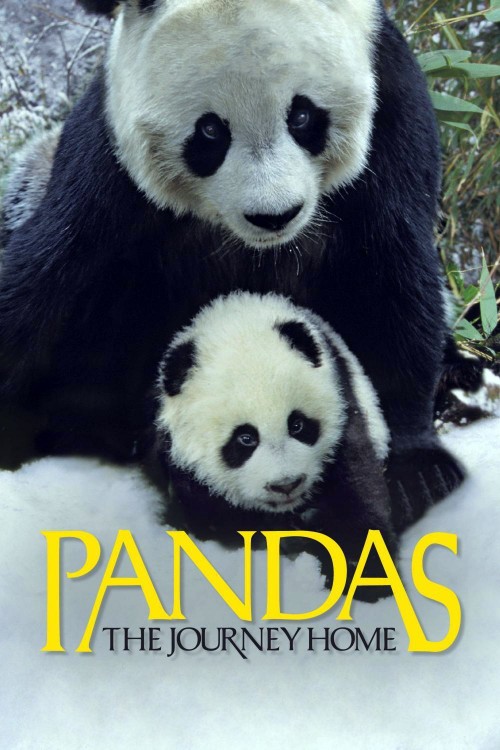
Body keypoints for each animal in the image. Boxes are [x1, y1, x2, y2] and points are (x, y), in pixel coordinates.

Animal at [0, 0, 464, 528]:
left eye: (302, 115)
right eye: (209, 130)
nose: (274, 215)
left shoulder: (392, 113)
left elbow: (392, 275)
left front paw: (417, 471)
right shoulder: (110, 161)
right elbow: (49, 276)